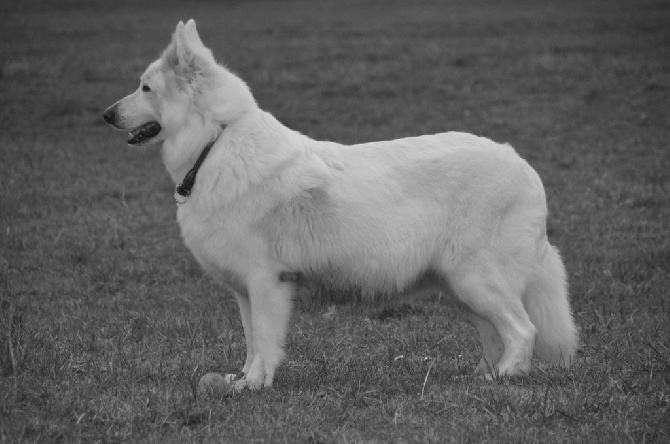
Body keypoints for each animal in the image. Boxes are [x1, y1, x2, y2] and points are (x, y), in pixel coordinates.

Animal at [102, 20, 580, 388]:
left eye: (145, 88)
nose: (106, 114)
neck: (214, 144)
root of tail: (524, 166)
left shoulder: (267, 283)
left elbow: (266, 343)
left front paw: (256, 385)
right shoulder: (244, 291)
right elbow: (251, 342)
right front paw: (241, 381)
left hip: (476, 280)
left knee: (523, 330)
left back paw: (506, 377)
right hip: (462, 287)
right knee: (496, 334)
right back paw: (483, 376)